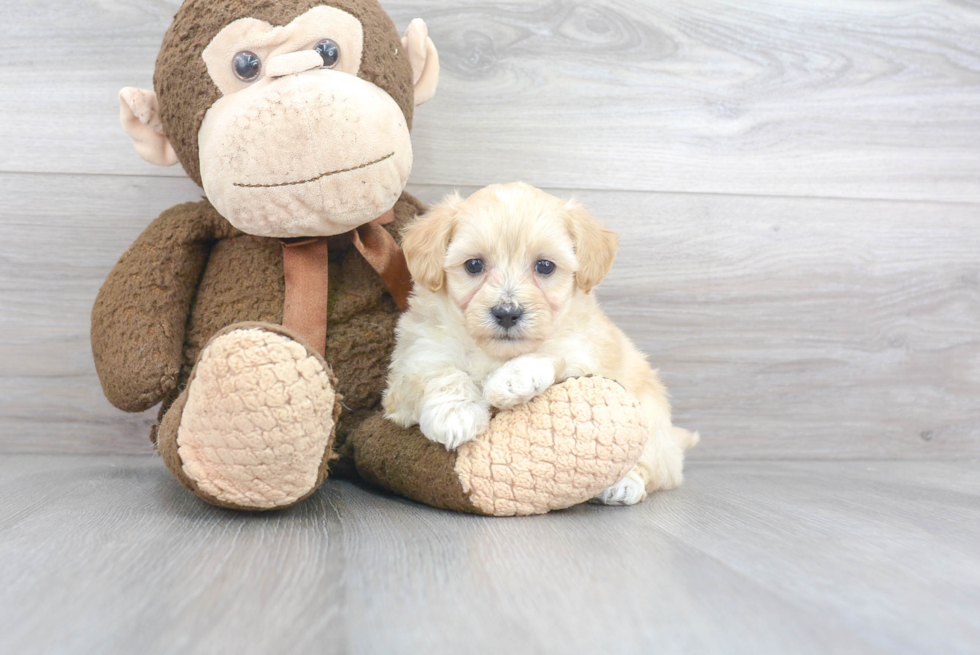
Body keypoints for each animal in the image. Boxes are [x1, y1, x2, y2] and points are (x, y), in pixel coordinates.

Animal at [382, 182, 696, 504]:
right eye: (474, 265)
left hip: (652, 417)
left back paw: (624, 483)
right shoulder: (412, 363)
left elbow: (555, 351)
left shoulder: (583, 348)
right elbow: (438, 373)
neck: (495, 353)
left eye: (544, 266)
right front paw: (456, 414)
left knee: (658, 465)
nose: (507, 313)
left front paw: (512, 380)